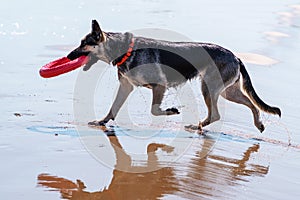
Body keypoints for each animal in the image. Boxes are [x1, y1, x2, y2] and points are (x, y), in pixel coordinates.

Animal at [67, 19, 282, 133]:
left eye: (83, 44)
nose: (68, 56)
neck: (124, 49)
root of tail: (236, 56)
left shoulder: (159, 86)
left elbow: (155, 110)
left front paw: (171, 111)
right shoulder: (126, 87)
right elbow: (113, 108)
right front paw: (102, 122)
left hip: (209, 88)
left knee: (216, 114)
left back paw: (198, 126)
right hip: (227, 92)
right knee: (251, 105)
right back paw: (257, 123)